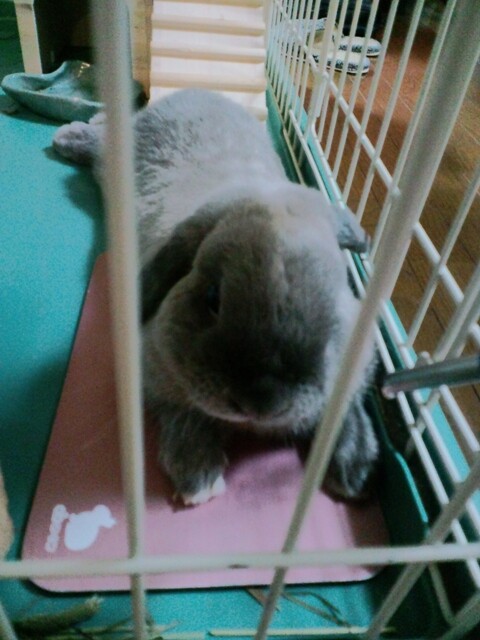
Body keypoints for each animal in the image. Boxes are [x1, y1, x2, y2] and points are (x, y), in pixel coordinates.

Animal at [53, 89, 379, 506]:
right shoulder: (157, 377)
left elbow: (345, 407)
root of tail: (193, 93)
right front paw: (197, 476)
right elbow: (183, 413)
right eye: (213, 298)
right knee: (102, 138)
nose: (261, 400)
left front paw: (355, 468)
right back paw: (68, 136)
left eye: (336, 302)